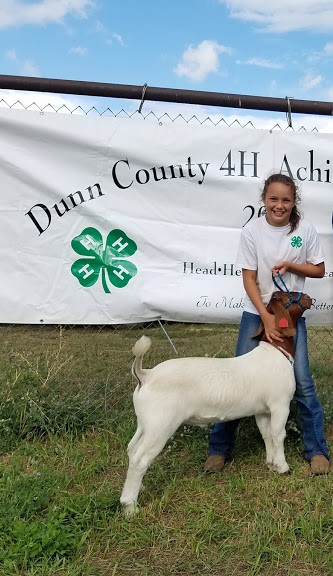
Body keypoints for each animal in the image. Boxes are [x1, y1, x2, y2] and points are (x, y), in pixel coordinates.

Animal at [121, 290, 312, 516]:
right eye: (290, 296)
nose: (309, 298)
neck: (276, 353)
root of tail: (145, 375)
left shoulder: (263, 410)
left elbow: (267, 435)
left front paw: (271, 464)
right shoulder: (280, 404)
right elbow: (278, 435)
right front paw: (283, 467)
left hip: (146, 422)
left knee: (132, 449)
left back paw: (140, 488)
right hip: (161, 424)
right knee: (140, 459)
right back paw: (130, 506)